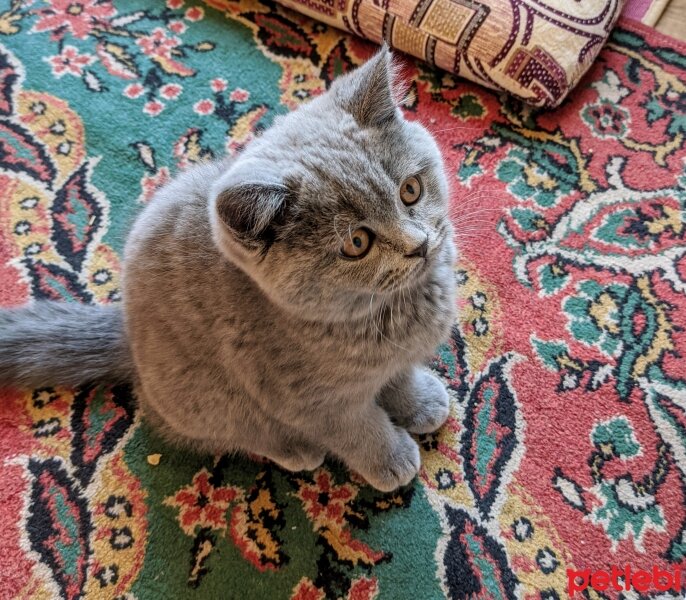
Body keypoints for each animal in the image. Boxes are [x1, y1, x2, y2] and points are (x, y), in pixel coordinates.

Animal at [1, 48, 462, 492]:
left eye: (410, 190)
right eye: (357, 243)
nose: (419, 245)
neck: (394, 310)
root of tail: (127, 334)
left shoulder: (393, 361)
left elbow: (398, 377)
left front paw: (421, 402)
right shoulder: (312, 402)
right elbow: (358, 430)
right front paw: (391, 459)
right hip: (211, 401)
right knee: (240, 432)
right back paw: (296, 450)